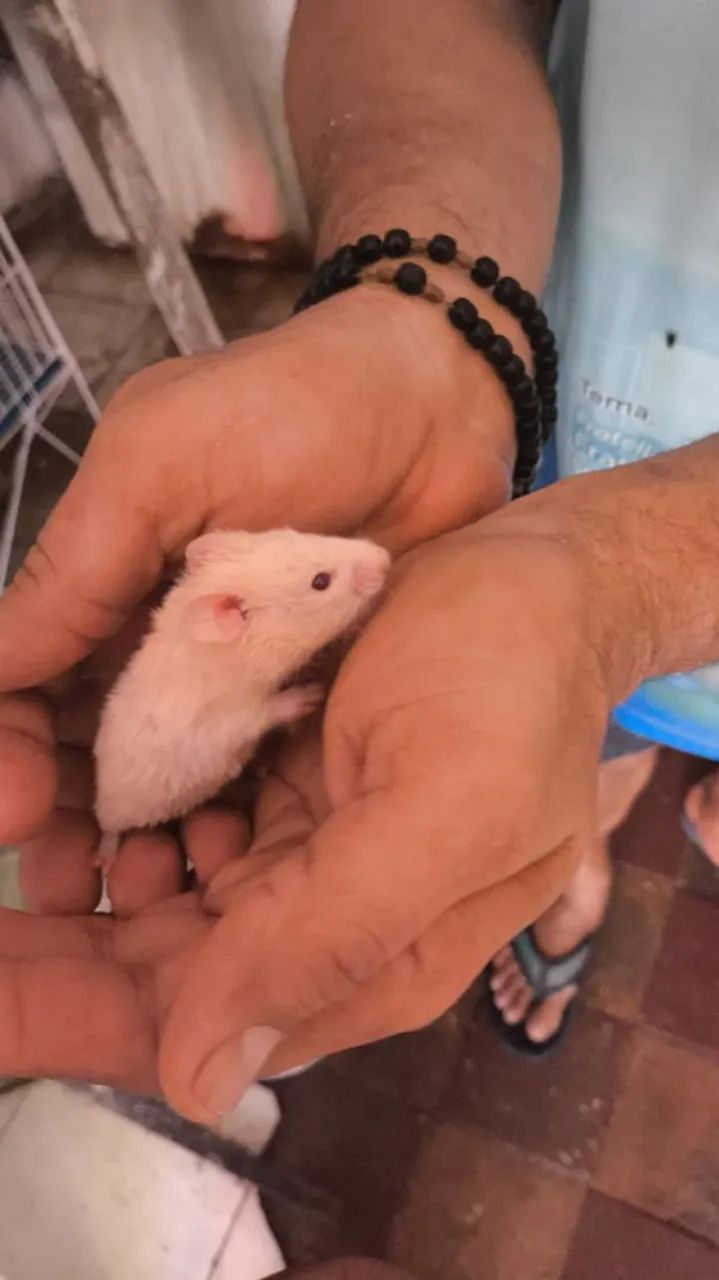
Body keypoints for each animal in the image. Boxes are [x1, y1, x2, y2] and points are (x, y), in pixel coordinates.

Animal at [94, 528, 390, 834]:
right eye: (320, 581)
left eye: (305, 535)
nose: (385, 558)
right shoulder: (223, 723)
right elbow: (261, 715)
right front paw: (310, 696)